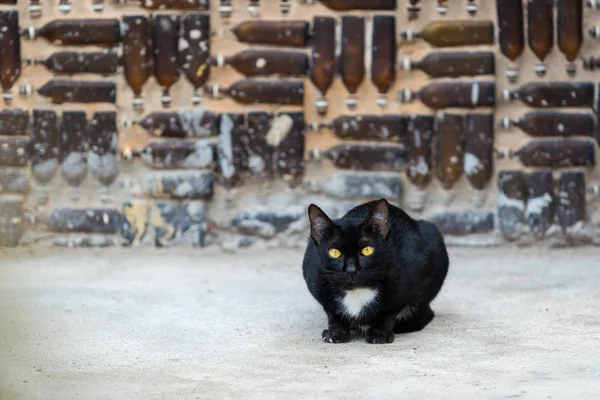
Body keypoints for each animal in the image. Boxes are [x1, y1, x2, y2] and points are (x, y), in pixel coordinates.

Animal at [302, 199, 448, 344]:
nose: (351, 269)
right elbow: (332, 311)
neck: (356, 291)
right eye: (334, 252)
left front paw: (379, 333)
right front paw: (336, 331)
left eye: (367, 250)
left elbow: (389, 312)